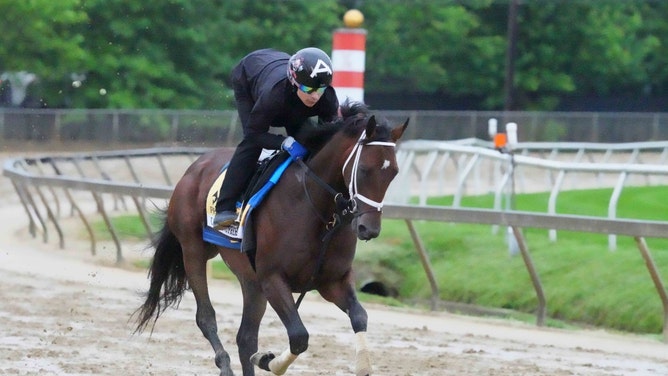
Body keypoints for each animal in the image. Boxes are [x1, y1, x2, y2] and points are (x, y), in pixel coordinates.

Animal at [133, 100, 408, 376]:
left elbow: (359, 316)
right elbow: (299, 336)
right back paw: (224, 364)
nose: (369, 229)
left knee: (245, 337)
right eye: (363, 170)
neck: (317, 211)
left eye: (394, 172)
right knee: (206, 316)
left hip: (250, 279)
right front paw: (266, 360)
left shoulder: (332, 281)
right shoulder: (273, 279)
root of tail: (194, 168)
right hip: (193, 251)